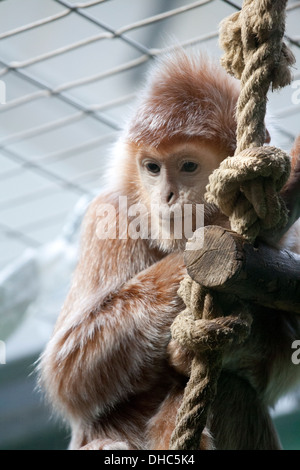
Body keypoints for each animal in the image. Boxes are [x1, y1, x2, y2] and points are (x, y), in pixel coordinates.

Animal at [39, 49, 300, 450]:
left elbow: (288, 352)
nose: (166, 195)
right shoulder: (109, 216)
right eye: (152, 168)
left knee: (234, 389)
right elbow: (67, 369)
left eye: (188, 165)